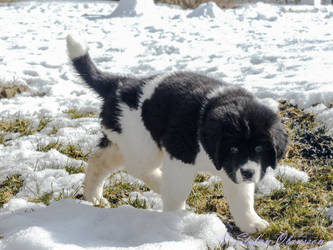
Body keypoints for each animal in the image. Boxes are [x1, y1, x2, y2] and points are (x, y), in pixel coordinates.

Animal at [66, 34, 286, 233]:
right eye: (233, 148)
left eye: (259, 148)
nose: (248, 173)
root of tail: (121, 83)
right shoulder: (180, 155)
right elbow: (177, 190)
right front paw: (175, 218)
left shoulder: (234, 169)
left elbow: (242, 197)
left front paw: (251, 223)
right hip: (143, 144)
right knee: (138, 167)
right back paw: (159, 183)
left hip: (126, 138)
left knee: (99, 160)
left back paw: (93, 197)